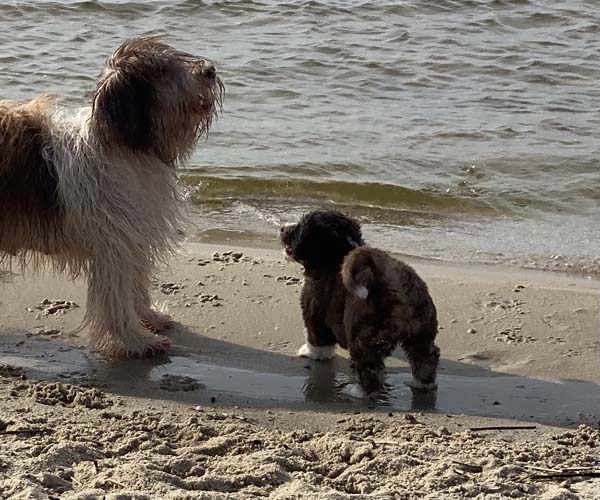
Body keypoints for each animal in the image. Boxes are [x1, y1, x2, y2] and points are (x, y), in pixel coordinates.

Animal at [0, 36, 223, 357]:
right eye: (161, 70)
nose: (209, 70)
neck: (124, 145)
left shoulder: (134, 235)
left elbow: (137, 284)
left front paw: (150, 317)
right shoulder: (114, 245)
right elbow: (117, 298)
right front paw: (136, 340)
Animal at [280, 210, 440, 397]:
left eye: (300, 228)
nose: (282, 228)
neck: (336, 255)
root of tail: (394, 282)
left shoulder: (314, 311)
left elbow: (317, 339)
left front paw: (310, 352)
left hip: (364, 338)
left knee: (370, 368)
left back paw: (358, 391)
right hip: (421, 335)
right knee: (425, 359)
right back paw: (422, 384)